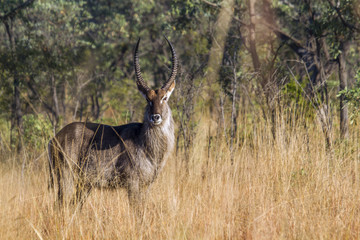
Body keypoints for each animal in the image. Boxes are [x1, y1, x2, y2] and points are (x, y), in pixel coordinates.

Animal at [47, 36, 177, 210]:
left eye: (164, 98)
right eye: (147, 99)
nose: (155, 117)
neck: (146, 144)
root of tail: (54, 138)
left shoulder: (146, 185)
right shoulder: (133, 184)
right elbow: (137, 212)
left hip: (84, 184)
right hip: (65, 177)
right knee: (59, 206)